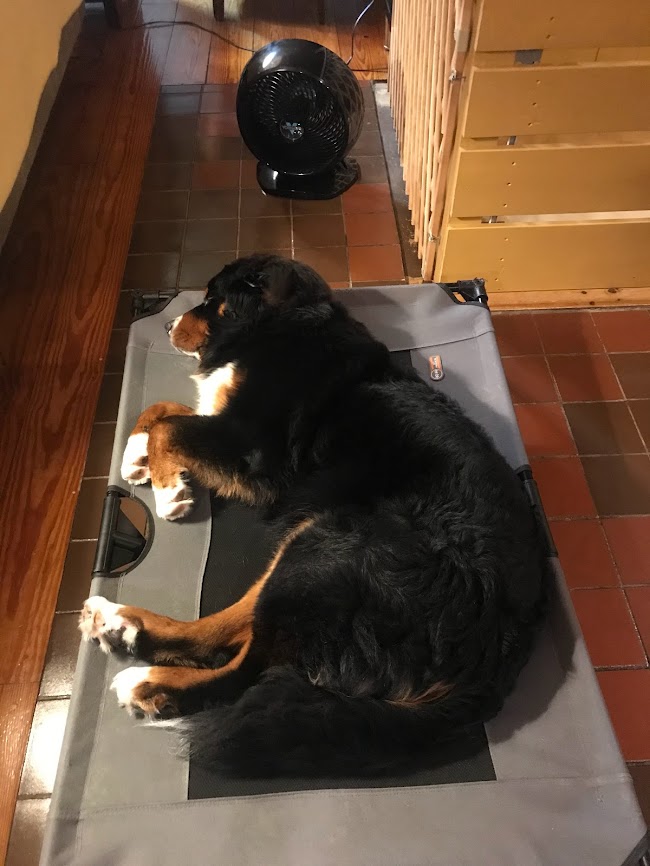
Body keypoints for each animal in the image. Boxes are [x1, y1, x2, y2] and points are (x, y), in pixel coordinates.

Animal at [79, 253, 548, 772]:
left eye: (213, 298)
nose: (166, 327)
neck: (279, 327)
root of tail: (498, 654)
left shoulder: (251, 444)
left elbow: (172, 425)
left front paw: (169, 490)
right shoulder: (227, 423)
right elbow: (162, 408)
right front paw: (136, 456)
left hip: (333, 549)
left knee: (245, 671)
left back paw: (147, 682)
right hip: (307, 545)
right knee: (220, 635)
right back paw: (120, 625)